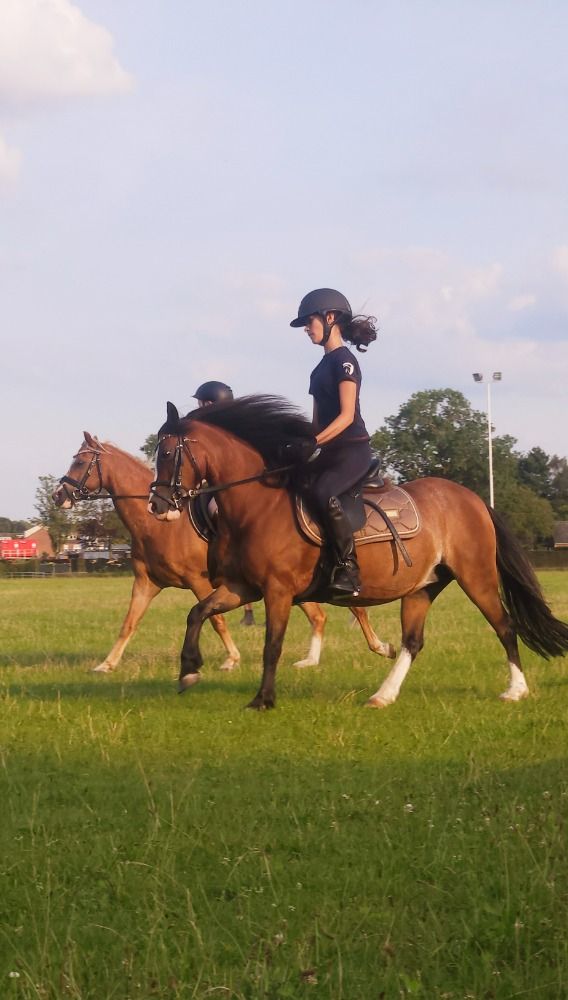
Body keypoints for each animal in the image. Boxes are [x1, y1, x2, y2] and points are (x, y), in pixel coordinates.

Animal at [53, 433, 391, 673]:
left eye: (80, 462)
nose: (59, 495)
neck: (157, 524)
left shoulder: (199, 581)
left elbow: (216, 620)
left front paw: (232, 658)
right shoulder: (146, 583)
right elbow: (129, 623)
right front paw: (107, 664)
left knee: (353, 608)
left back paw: (379, 646)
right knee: (321, 616)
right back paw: (314, 659)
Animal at [148, 395, 568, 710]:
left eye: (167, 453)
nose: (157, 505)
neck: (257, 505)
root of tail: (473, 499)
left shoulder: (277, 590)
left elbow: (272, 645)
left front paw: (263, 699)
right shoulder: (242, 587)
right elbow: (197, 612)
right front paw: (189, 670)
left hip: (476, 577)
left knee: (505, 626)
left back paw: (515, 690)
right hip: (422, 587)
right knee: (412, 642)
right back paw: (383, 695)